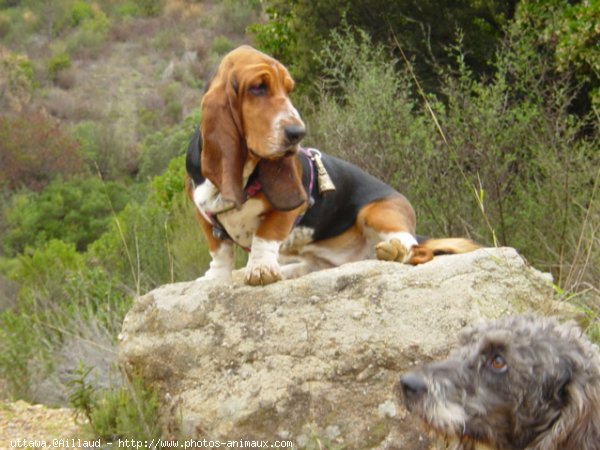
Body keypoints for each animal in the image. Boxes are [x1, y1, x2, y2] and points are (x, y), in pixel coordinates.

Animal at [186, 45, 478, 284]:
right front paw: (216, 277)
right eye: (258, 87)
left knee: (419, 250)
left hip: (377, 214)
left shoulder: (292, 208)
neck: (246, 173)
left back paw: (395, 251)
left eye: (288, 89)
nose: (298, 133)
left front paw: (261, 268)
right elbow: (219, 250)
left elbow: (266, 234)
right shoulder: (203, 214)